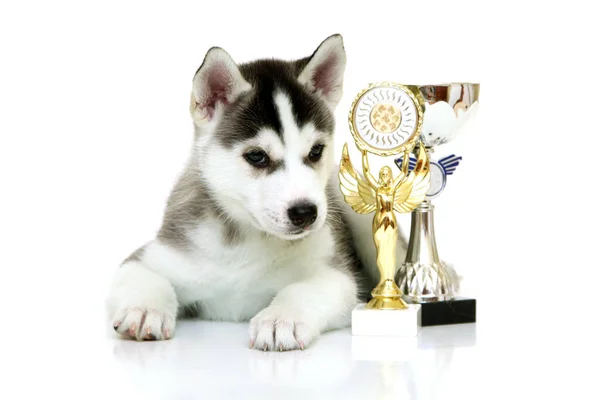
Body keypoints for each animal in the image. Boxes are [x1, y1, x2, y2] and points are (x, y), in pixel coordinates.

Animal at [107, 34, 380, 350]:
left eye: (316, 151)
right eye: (257, 156)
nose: (305, 213)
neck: (244, 238)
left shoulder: (336, 275)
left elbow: (303, 289)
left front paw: (281, 319)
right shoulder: (153, 256)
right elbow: (144, 276)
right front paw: (143, 310)